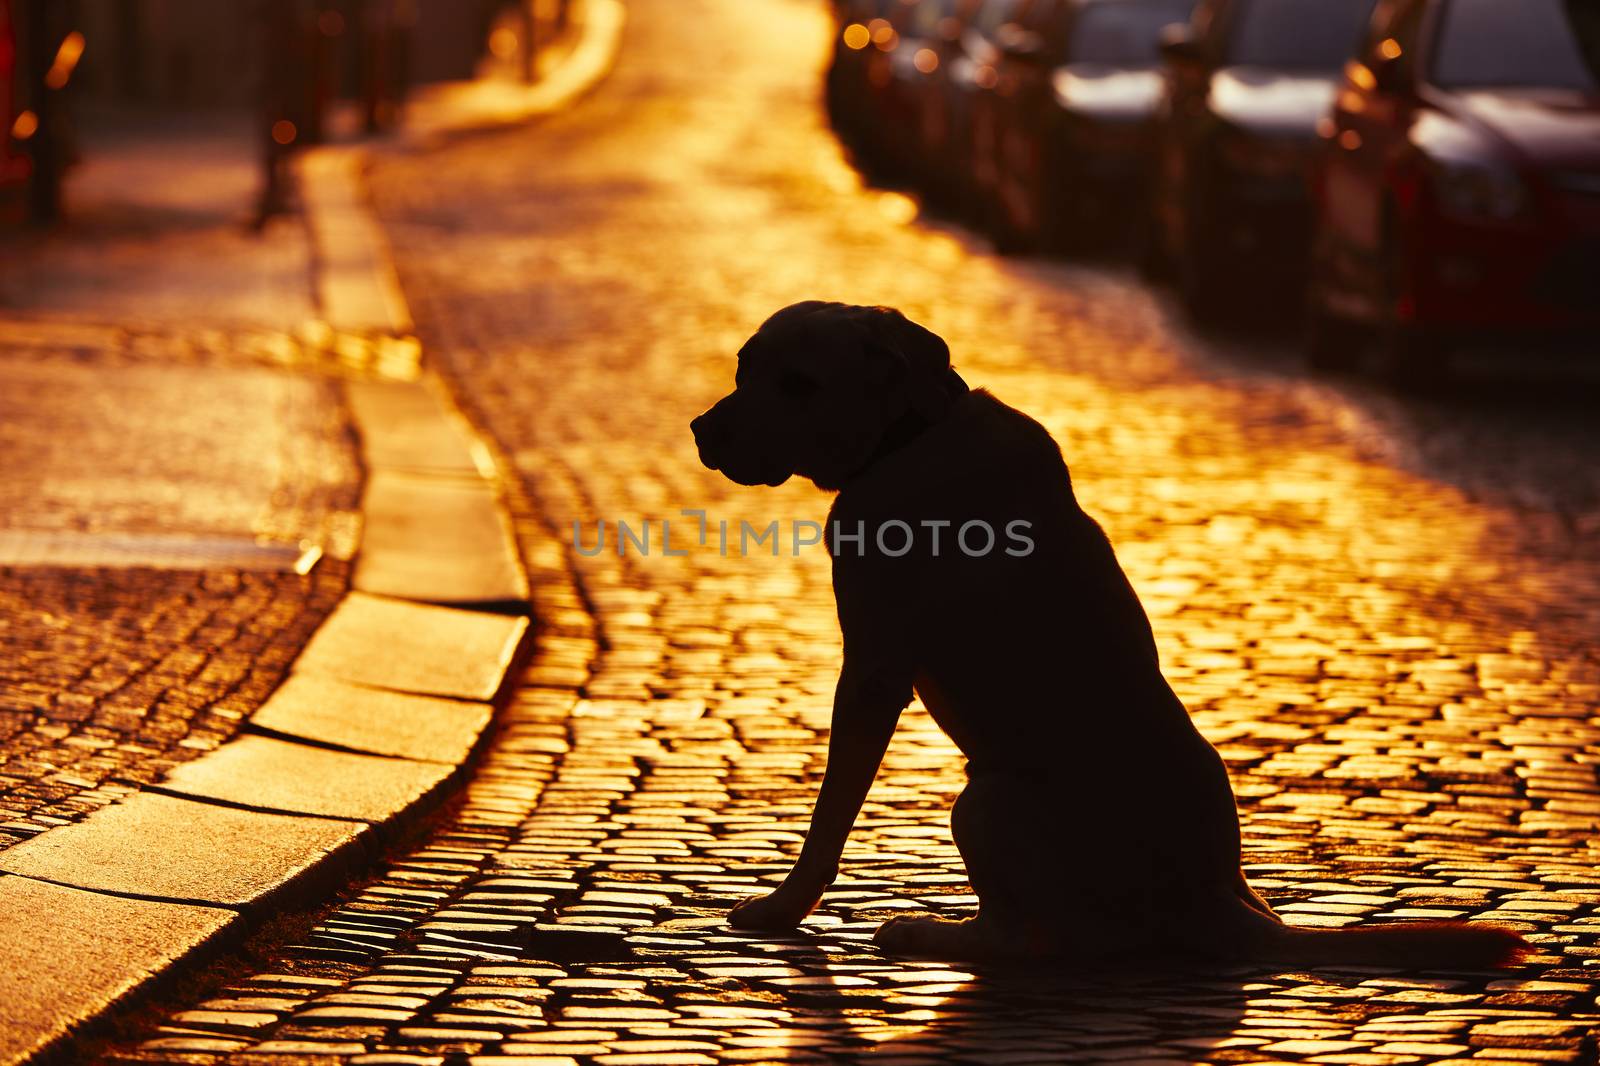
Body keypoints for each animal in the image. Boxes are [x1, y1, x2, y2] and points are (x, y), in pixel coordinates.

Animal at [694, 299, 1516, 960]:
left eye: (798, 384)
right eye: (743, 367)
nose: (702, 430)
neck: (910, 434)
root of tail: (1221, 904)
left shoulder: (871, 669)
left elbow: (829, 816)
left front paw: (780, 911)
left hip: (983, 799)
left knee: (1026, 941)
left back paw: (926, 934)